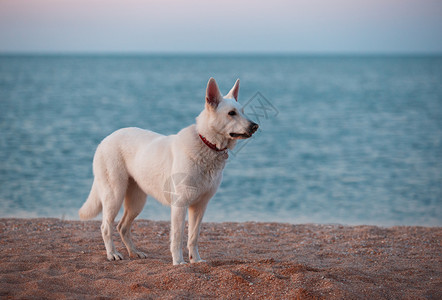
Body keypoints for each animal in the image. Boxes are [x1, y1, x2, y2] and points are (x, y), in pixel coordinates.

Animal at [79, 78, 258, 264]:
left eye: (242, 111)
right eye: (231, 113)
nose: (255, 126)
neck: (207, 144)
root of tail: (105, 140)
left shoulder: (200, 206)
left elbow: (193, 237)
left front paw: (196, 260)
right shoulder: (180, 204)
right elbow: (178, 237)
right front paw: (179, 262)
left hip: (137, 201)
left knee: (122, 227)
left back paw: (134, 252)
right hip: (114, 195)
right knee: (106, 226)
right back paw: (112, 253)